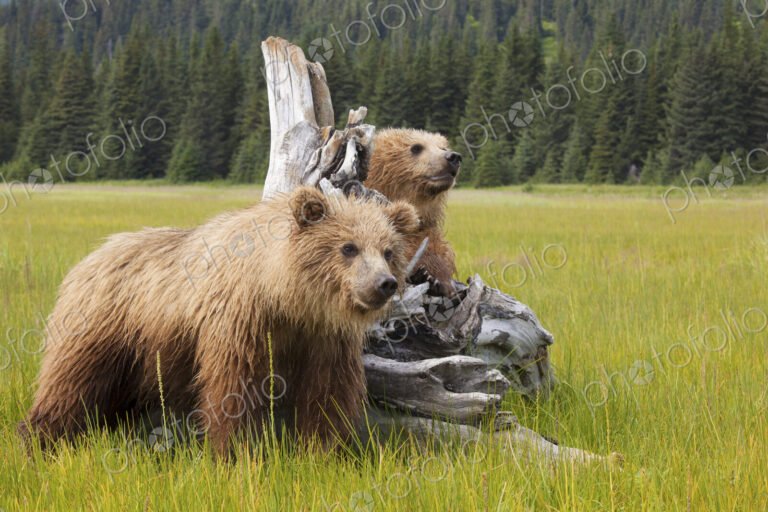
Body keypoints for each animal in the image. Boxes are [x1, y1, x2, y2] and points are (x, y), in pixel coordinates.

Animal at [18, 186, 419, 457]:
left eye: (388, 251)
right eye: (348, 247)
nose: (384, 283)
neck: (285, 297)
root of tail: (88, 258)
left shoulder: (322, 337)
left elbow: (327, 394)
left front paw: (324, 452)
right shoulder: (240, 321)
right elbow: (233, 388)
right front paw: (236, 452)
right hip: (105, 328)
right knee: (72, 385)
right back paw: (38, 438)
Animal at [365, 128, 462, 296]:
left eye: (442, 147)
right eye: (416, 147)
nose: (453, 156)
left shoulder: (424, 231)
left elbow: (436, 254)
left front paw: (433, 279)